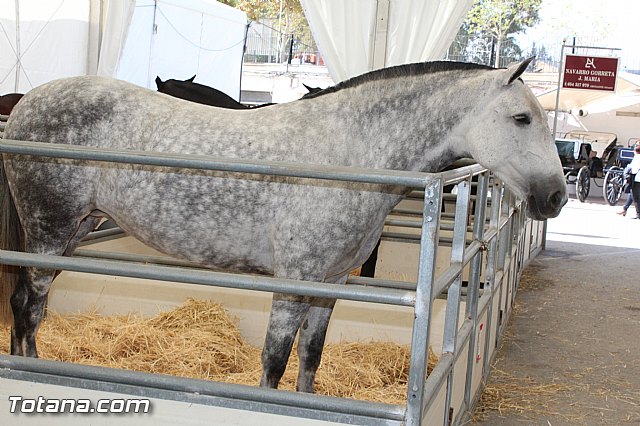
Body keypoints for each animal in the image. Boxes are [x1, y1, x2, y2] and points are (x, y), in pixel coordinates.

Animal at [1, 58, 567, 393]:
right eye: (521, 118)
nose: (556, 196)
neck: (349, 152)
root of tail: (27, 103)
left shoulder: (330, 284)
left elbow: (310, 357)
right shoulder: (295, 282)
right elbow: (275, 360)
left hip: (73, 231)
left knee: (32, 307)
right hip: (49, 231)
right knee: (26, 307)